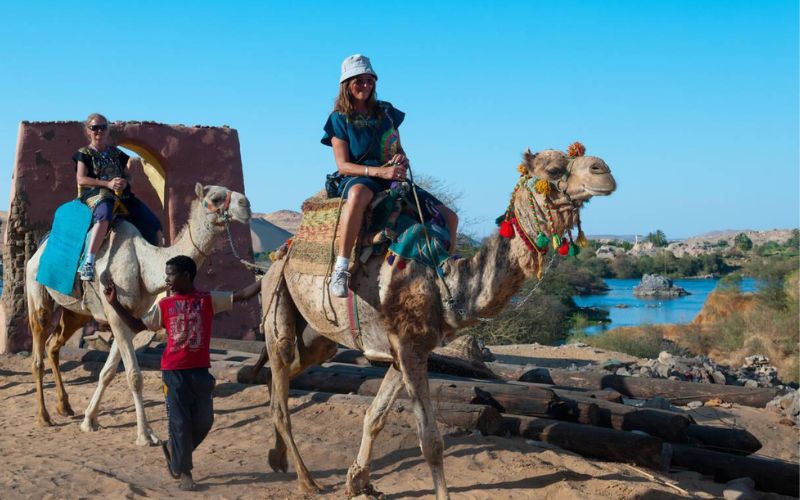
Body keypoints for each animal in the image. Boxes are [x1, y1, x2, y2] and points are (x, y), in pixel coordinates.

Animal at [26, 183, 251, 446]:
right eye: (215, 198)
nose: (246, 205)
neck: (144, 264)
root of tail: (39, 249)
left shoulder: (129, 320)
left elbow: (107, 372)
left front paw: (89, 420)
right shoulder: (116, 318)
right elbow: (134, 376)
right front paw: (145, 435)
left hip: (75, 311)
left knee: (53, 345)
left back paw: (65, 407)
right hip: (36, 290)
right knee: (38, 351)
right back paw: (44, 417)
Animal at [259, 145, 617, 498]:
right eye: (553, 170)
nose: (604, 171)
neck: (441, 281)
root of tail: (280, 254)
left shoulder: (406, 351)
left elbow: (375, 416)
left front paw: (358, 481)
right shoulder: (409, 349)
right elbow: (431, 441)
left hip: (320, 337)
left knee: (287, 377)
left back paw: (277, 456)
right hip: (276, 300)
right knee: (281, 383)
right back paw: (306, 480)